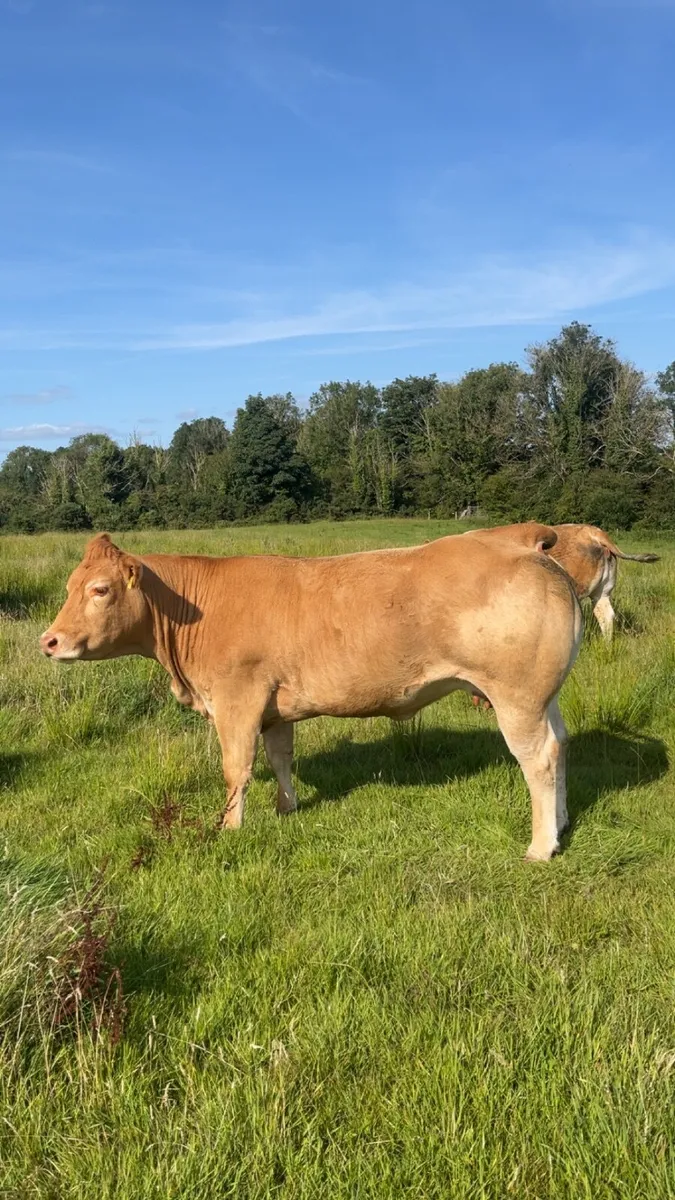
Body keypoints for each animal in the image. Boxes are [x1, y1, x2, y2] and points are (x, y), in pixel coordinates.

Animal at [40, 524, 582, 862]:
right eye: (69, 587)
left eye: (101, 590)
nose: (50, 641)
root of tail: (518, 540)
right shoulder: (275, 708)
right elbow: (280, 758)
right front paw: (287, 809)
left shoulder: (237, 699)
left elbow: (236, 768)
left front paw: (230, 829)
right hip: (544, 696)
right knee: (560, 745)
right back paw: (560, 825)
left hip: (517, 697)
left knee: (538, 759)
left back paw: (540, 846)